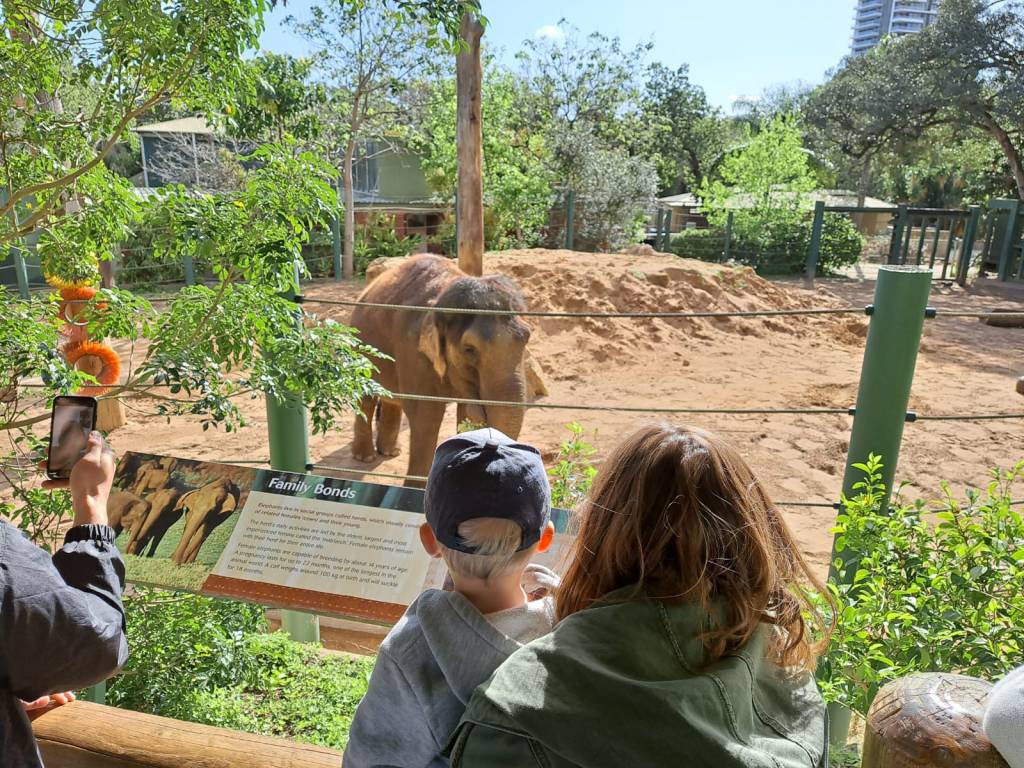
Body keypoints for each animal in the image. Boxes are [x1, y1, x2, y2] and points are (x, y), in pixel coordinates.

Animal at [350, 254, 533, 485]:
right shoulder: (412, 350)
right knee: (365, 397)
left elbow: (464, 414)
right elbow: (426, 415)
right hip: (360, 348)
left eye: (527, 337)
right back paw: (365, 457)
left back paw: (391, 452)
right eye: (469, 349)